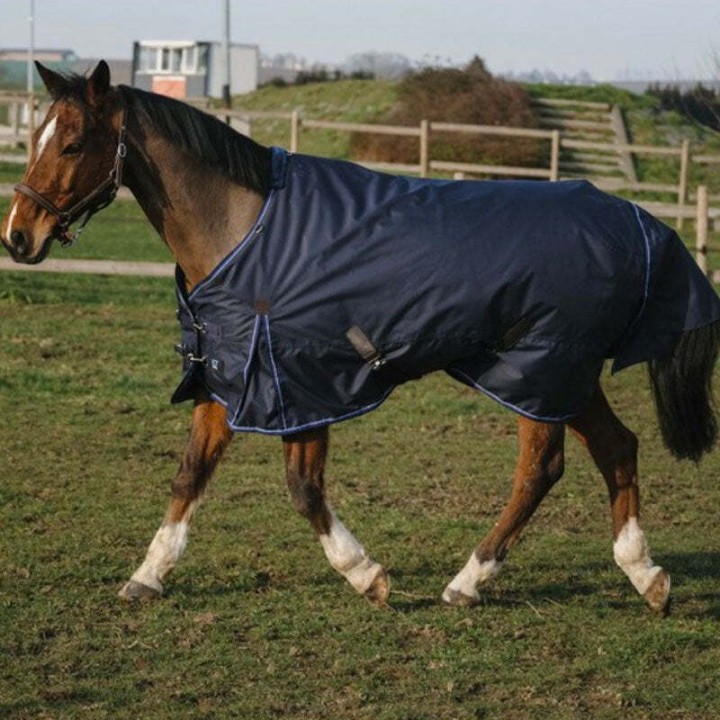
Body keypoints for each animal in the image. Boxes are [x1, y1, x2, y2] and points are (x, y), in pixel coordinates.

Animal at [3, 61, 719, 615]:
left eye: (71, 145)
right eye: (33, 135)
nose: (18, 235)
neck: (246, 230)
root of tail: (638, 222)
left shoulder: (300, 385)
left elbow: (302, 488)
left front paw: (366, 574)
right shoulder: (229, 373)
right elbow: (190, 475)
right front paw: (148, 575)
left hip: (537, 375)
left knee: (541, 470)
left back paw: (469, 581)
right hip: (563, 376)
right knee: (617, 449)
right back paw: (645, 576)